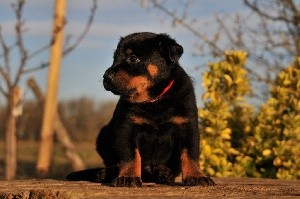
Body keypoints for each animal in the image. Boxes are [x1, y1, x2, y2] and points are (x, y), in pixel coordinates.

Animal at [67, 32, 214, 187]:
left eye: (133, 58)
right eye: (114, 58)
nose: (106, 77)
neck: (155, 101)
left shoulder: (187, 126)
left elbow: (190, 153)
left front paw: (196, 176)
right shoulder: (127, 128)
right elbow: (130, 155)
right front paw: (128, 177)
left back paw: (163, 172)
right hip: (103, 136)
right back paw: (105, 174)